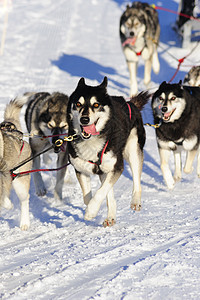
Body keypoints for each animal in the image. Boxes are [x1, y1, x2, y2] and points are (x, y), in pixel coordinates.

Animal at [66, 76, 148, 226]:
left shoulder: (117, 167)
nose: (84, 119)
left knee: (136, 180)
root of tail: (129, 103)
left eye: (96, 105)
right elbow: (88, 196)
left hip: (133, 151)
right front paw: (92, 208)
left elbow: (100, 192)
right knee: (109, 192)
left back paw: (135, 201)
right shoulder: (81, 170)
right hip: (104, 170)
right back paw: (110, 217)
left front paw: (91, 211)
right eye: (78, 104)